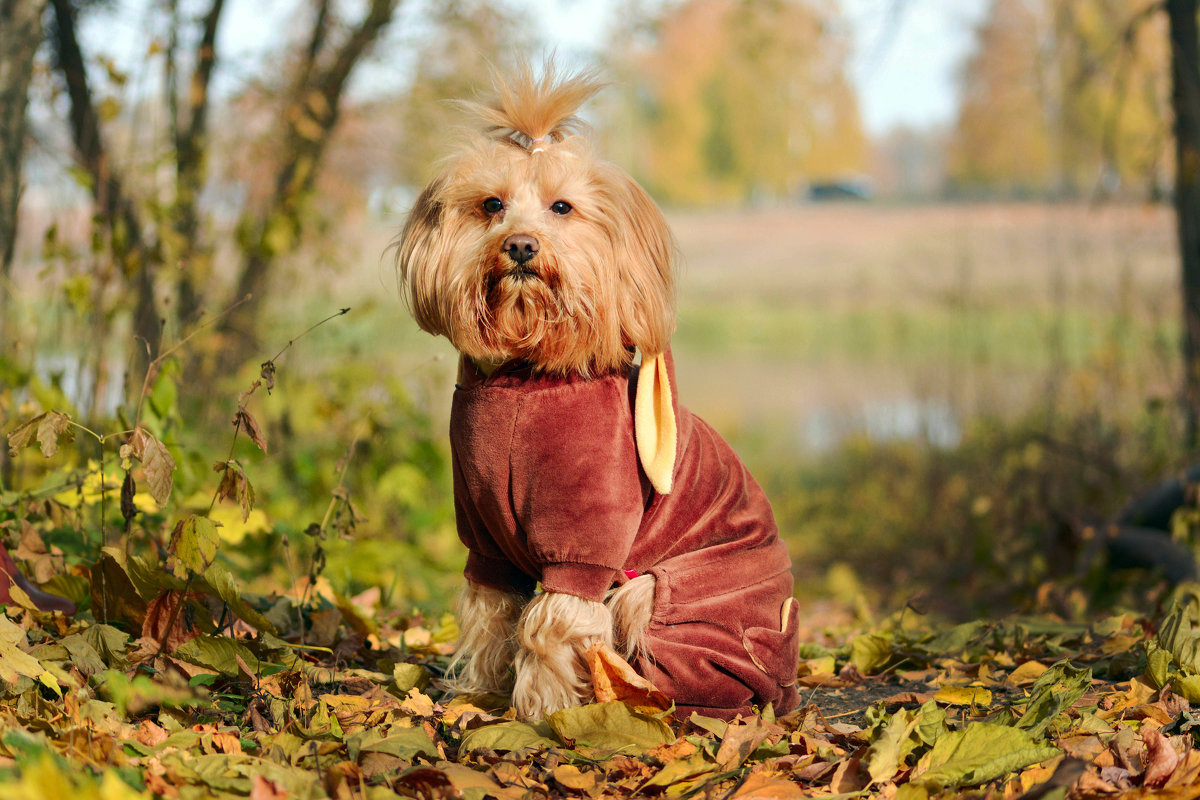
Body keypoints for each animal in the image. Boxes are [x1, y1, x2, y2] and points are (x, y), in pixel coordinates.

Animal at [393, 65, 801, 724]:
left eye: (562, 207)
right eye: (491, 205)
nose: (521, 245)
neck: (526, 376)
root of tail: (785, 685)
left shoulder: (583, 544)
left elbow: (546, 624)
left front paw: (546, 712)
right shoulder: (484, 539)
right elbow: (489, 613)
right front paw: (480, 690)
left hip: (658, 593)